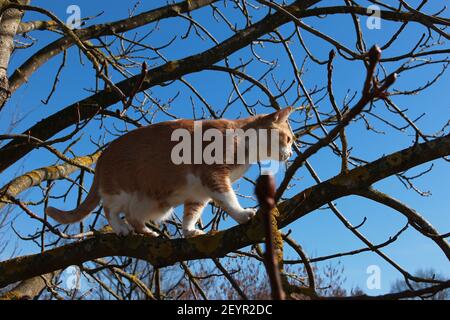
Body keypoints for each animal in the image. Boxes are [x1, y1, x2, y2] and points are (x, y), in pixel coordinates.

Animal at [44, 107, 292, 238]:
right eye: (289, 139)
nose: (290, 153)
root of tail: (103, 155)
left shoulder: (198, 194)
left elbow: (191, 214)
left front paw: (189, 231)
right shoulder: (214, 176)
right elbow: (229, 200)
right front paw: (242, 214)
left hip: (157, 205)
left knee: (133, 216)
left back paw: (147, 232)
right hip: (120, 191)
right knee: (110, 210)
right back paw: (121, 228)